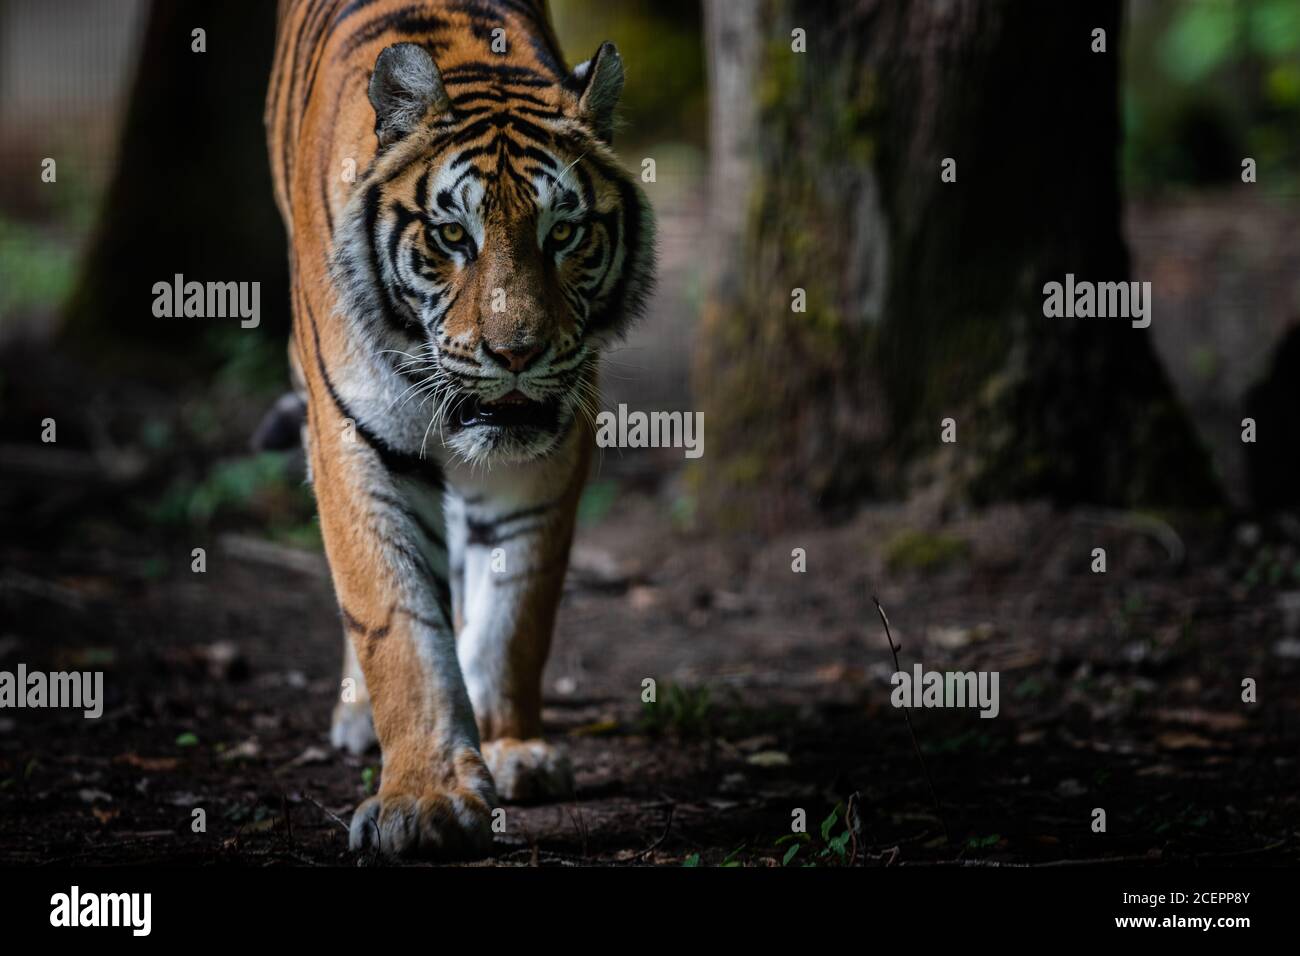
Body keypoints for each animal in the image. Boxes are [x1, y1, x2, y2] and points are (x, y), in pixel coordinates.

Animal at [264, 0, 655, 857]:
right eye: (452, 237)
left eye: (564, 234)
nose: (516, 353)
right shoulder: (355, 438)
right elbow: (395, 622)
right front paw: (426, 798)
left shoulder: (547, 452)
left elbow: (517, 610)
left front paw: (511, 748)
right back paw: (355, 715)